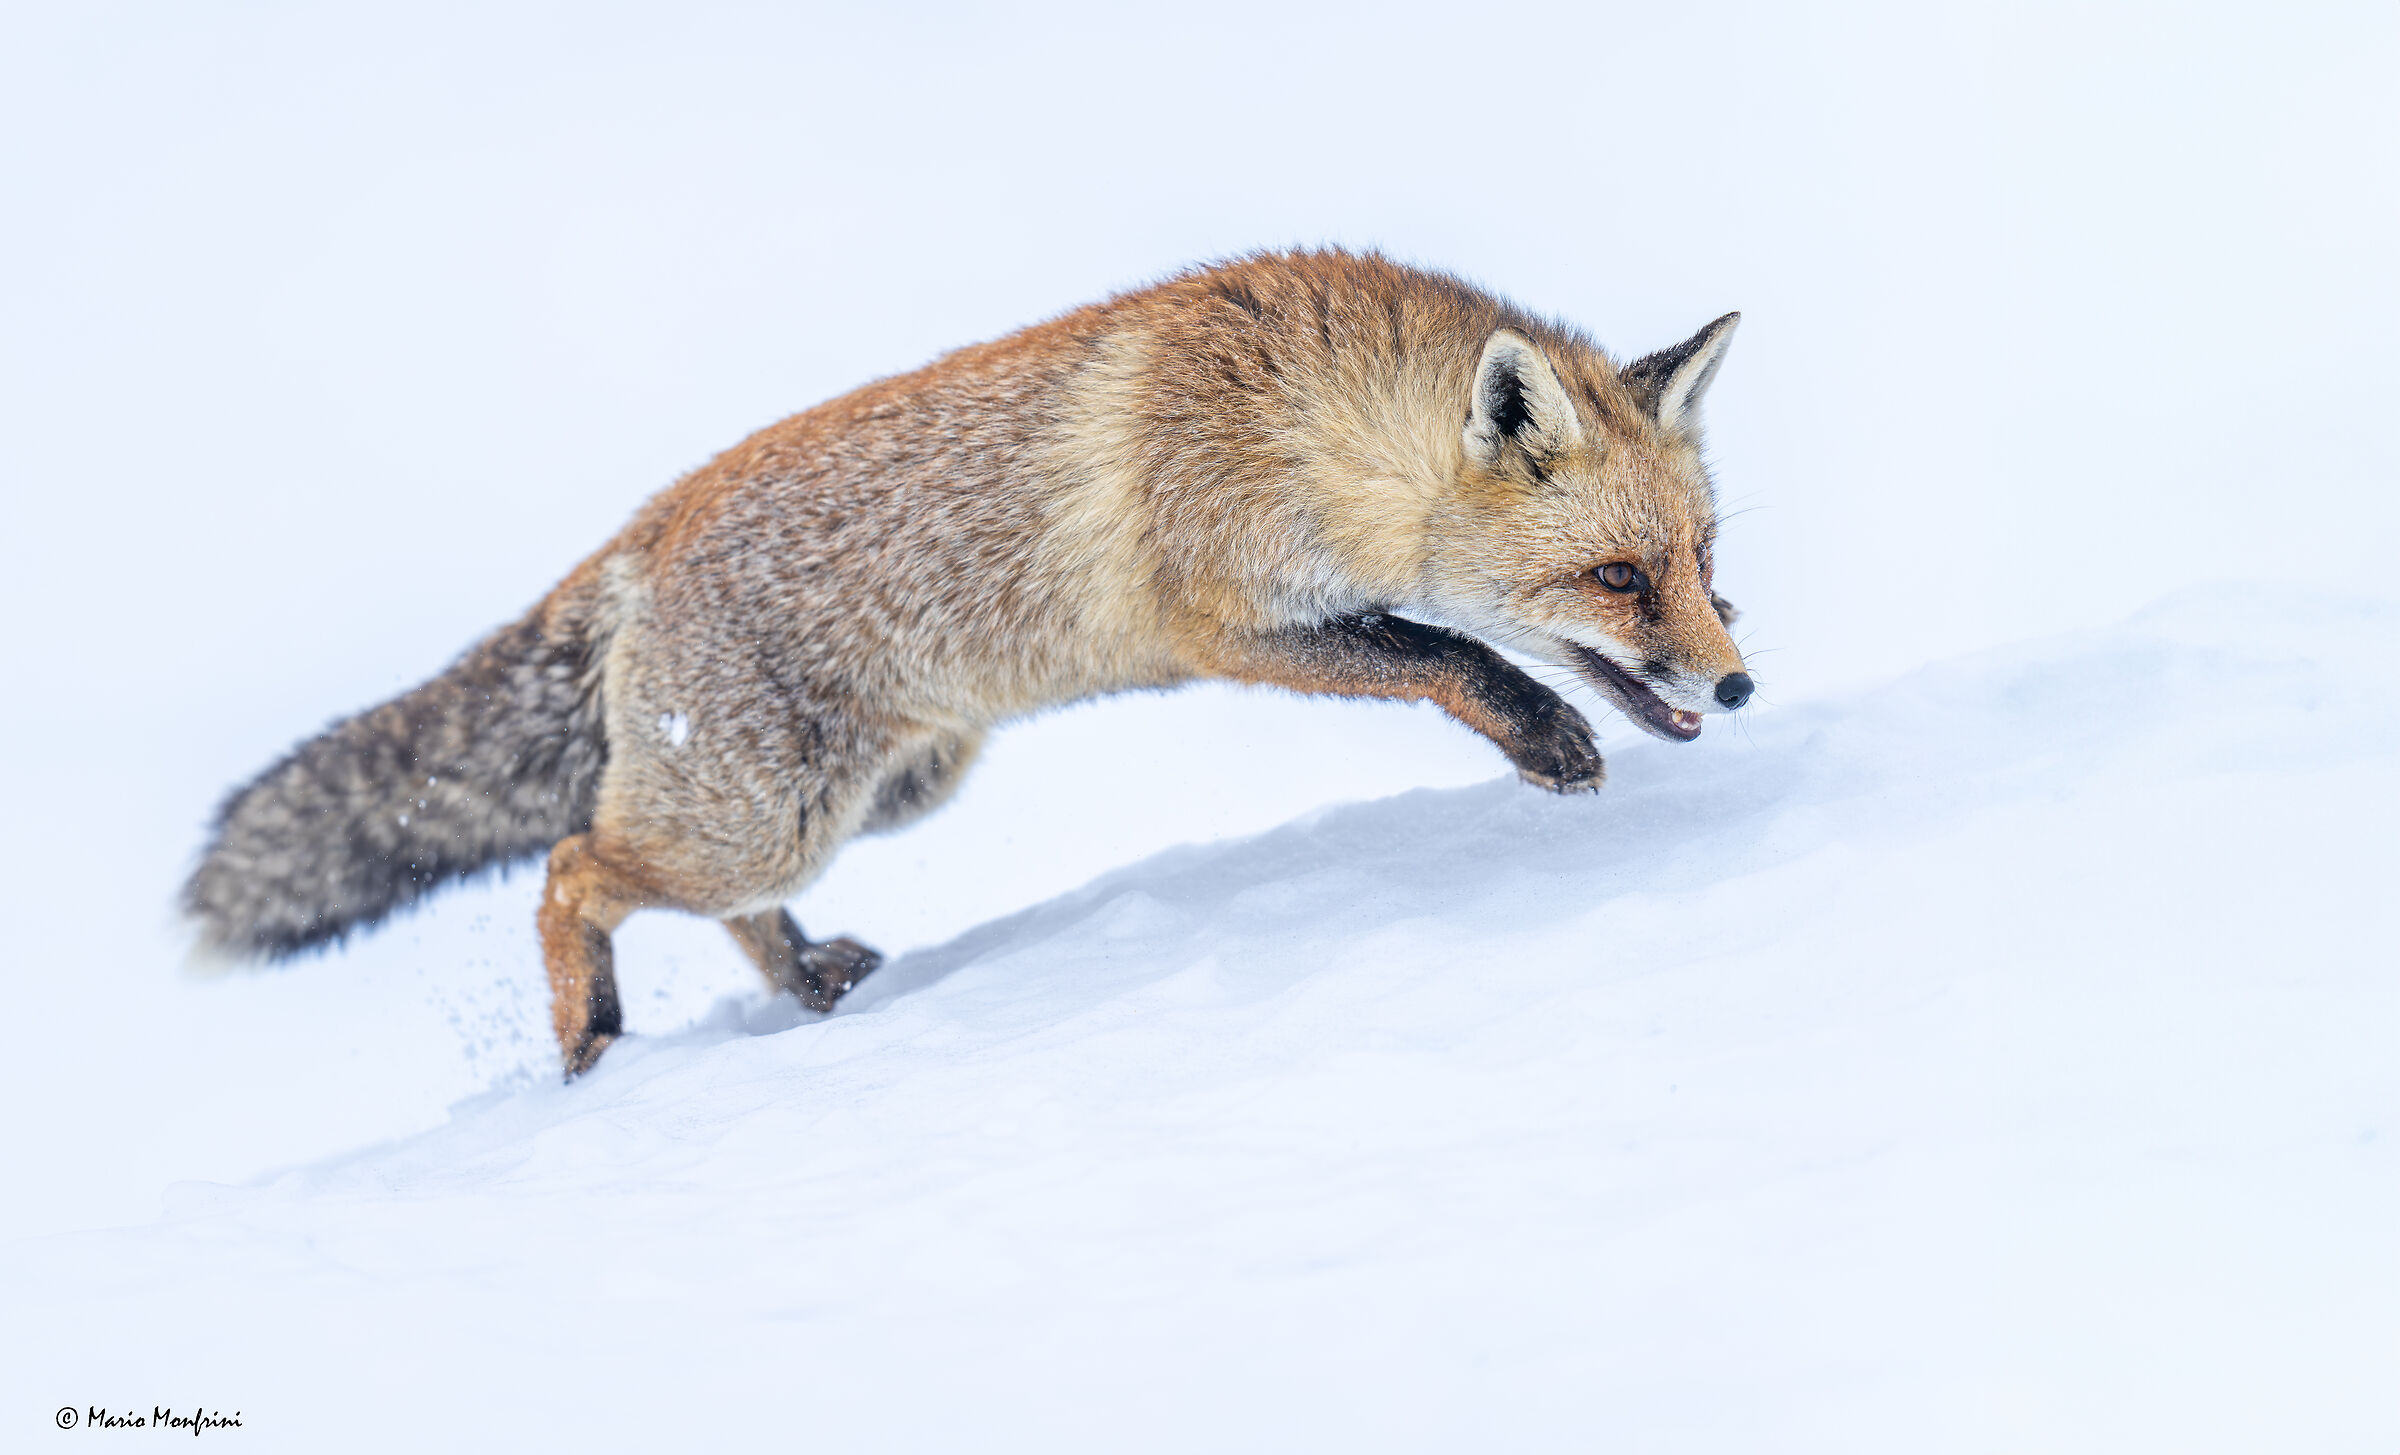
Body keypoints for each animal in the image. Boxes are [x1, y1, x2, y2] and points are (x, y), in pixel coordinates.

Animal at [184, 249, 1755, 1077]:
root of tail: (649, 523)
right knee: (570, 867)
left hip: (869, 799)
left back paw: (806, 985)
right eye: (1615, 579)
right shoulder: (1227, 624)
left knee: (700, 899)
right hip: (766, 815)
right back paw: (592, 1048)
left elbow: (1438, 642)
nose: (1738, 684)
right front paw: (1544, 737)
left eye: (1698, 558)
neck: (1303, 426)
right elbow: (1447, 654)